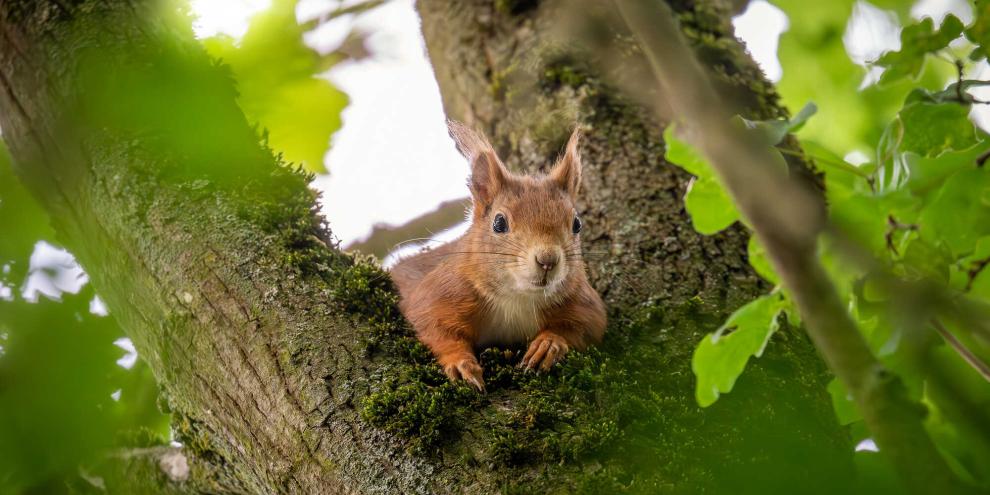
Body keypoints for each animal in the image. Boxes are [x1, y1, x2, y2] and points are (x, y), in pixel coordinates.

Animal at [389, 122, 606, 391]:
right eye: (499, 223)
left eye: (577, 224)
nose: (548, 260)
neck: (517, 298)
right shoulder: (440, 292)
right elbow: (432, 326)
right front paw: (460, 363)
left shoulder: (582, 302)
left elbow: (588, 324)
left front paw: (549, 345)